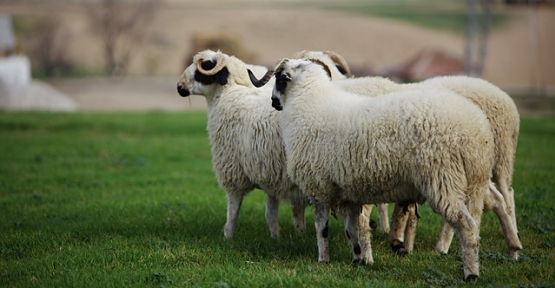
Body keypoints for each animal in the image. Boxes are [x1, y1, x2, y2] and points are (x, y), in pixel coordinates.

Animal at [176, 49, 310, 238]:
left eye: (205, 67)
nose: (179, 87)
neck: (230, 92)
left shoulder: (233, 170)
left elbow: (233, 209)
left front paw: (228, 236)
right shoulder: (272, 172)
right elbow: (271, 213)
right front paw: (277, 237)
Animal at [250, 58, 498, 282]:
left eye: (279, 79)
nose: (273, 102)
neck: (309, 103)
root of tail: (476, 129)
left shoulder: (319, 187)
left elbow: (322, 228)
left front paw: (323, 260)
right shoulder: (348, 192)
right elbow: (352, 229)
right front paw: (357, 259)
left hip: (443, 178)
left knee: (466, 225)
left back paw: (471, 274)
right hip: (475, 183)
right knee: (475, 224)